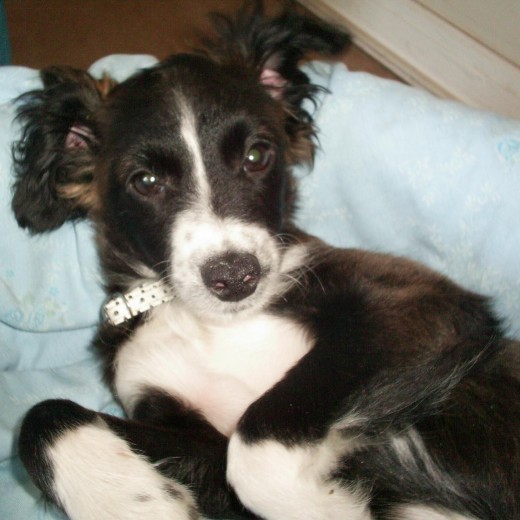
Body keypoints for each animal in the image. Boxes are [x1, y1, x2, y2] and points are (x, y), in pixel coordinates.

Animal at [11, 4, 520, 520]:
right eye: (147, 181)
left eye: (257, 156)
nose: (235, 278)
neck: (209, 325)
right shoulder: (190, 431)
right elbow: (41, 417)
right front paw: (138, 500)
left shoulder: (419, 302)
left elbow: (257, 442)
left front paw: (328, 507)